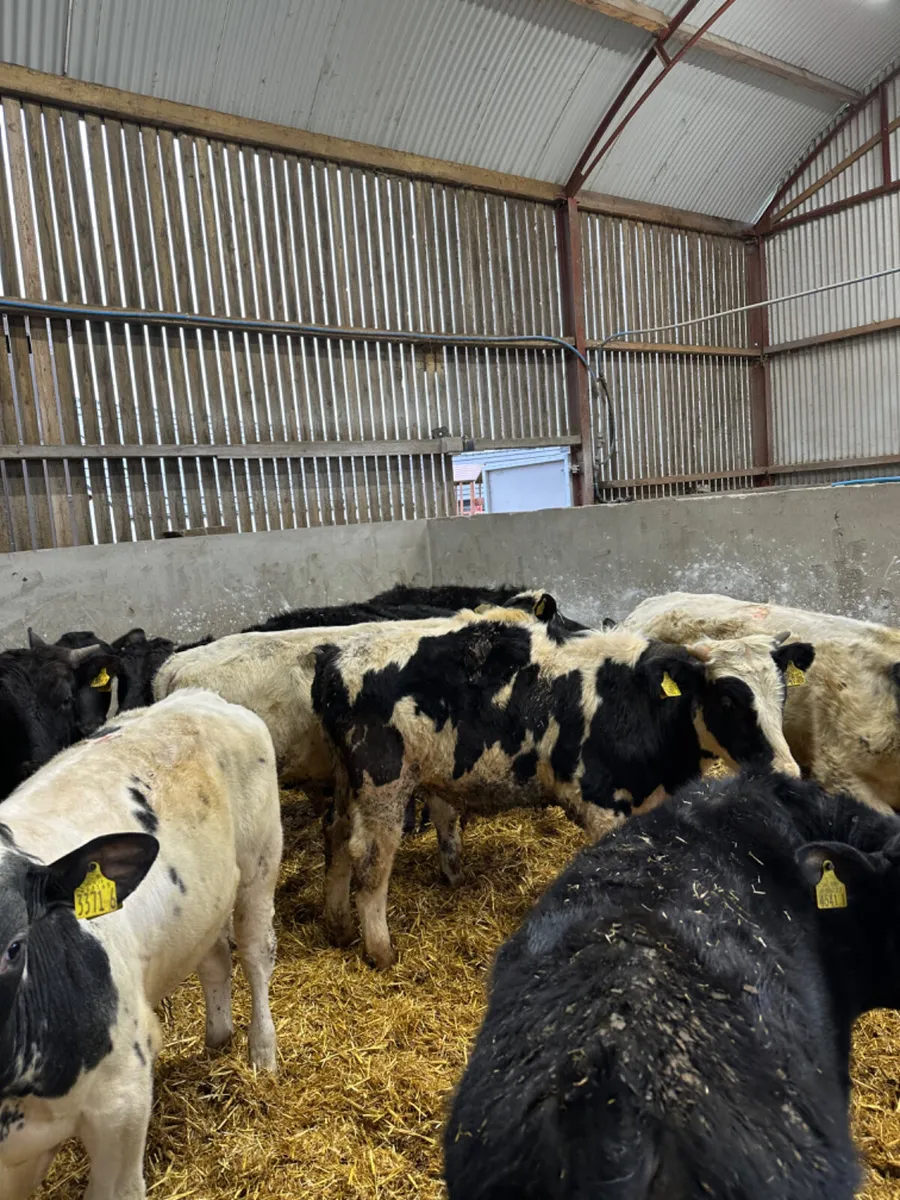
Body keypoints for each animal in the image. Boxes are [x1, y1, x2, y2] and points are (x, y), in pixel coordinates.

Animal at [0, 688, 281, 1199]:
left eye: (15, 946)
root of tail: (198, 696)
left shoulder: (123, 1103)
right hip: (204, 902)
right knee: (215, 959)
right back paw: (218, 1037)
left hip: (260, 863)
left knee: (256, 956)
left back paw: (262, 1054)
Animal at [311, 616, 813, 968]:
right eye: (728, 699)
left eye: (783, 694)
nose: (787, 771)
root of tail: (336, 656)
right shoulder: (600, 802)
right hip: (384, 780)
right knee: (370, 859)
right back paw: (380, 952)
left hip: (347, 779)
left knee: (335, 836)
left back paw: (337, 927)